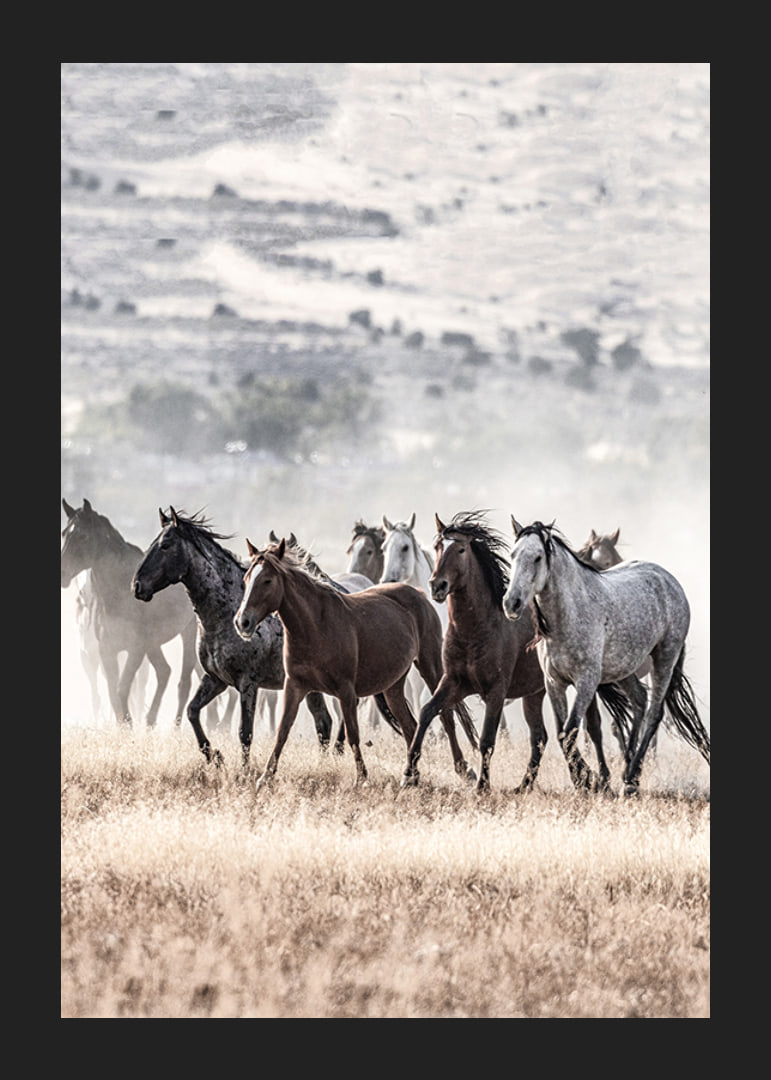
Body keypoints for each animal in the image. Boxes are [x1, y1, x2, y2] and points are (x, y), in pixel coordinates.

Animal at [61, 499, 198, 728]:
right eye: (64, 533)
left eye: (83, 536)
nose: (62, 573)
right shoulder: (107, 650)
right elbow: (112, 692)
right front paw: (124, 726)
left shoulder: (135, 649)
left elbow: (122, 688)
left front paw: (128, 725)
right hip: (153, 643)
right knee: (164, 671)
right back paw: (150, 721)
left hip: (188, 631)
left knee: (183, 681)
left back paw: (175, 726)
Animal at [131, 508, 337, 769]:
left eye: (166, 545)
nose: (137, 586)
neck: (226, 614)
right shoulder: (216, 679)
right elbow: (192, 711)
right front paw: (215, 756)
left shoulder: (248, 683)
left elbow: (244, 732)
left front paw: (244, 771)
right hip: (310, 686)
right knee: (323, 722)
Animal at [234, 538, 478, 789]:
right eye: (246, 579)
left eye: (267, 580)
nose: (242, 622)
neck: (315, 626)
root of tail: (419, 593)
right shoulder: (295, 686)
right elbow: (283, 730)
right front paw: (265, 777)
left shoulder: (346, 690)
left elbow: (352, 734)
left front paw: (362, 778)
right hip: (393, 686)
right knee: (410, 725)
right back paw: (412, 775)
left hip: (430, 667)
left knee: (446, 715)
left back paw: (463, 769)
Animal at [502, 518, 710, 794]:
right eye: (513, 555)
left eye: (537, 557)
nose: (511, 603)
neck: (570, 613)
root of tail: (670, 581)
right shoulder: (554, 682)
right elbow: (562, 733)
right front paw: (586, 780)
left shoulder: (586, 682)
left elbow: (571, 730)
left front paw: (588, 780)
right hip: (626, 668)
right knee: (639, 700)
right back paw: (627, 768)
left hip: (664, 658)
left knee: (654, 713)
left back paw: (632, 779)